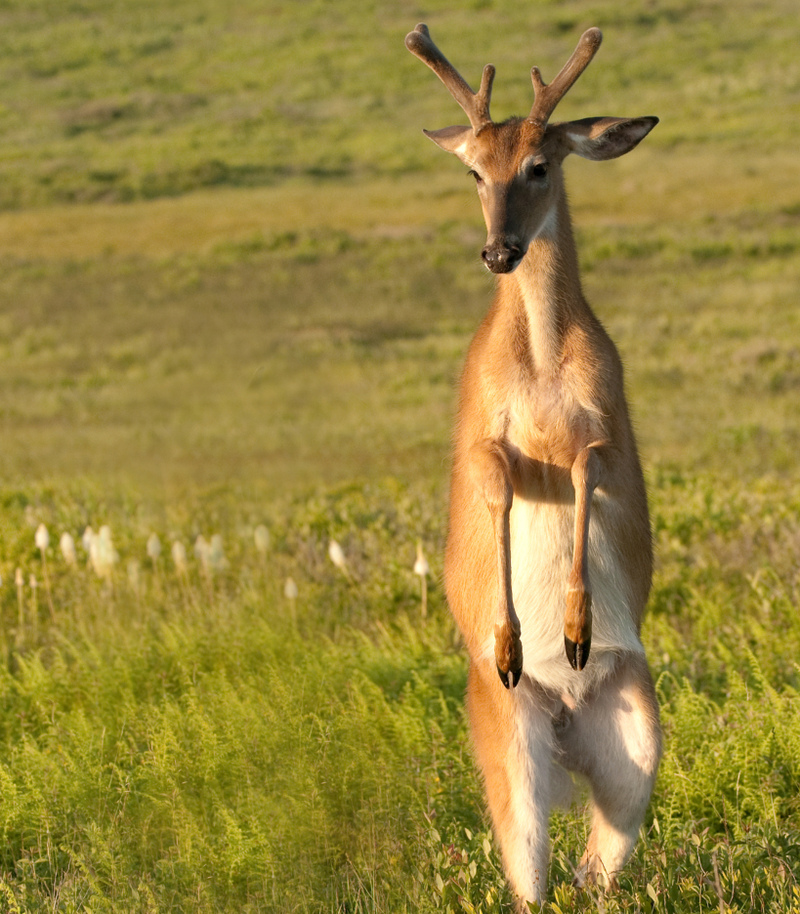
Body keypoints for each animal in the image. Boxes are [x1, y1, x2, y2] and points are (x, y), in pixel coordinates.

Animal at [406, 25, 664, 908]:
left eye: (539, 164)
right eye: (474, 170)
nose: (498, 250)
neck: (546, 368)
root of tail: (566, 725)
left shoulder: (606, 425)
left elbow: (586, 476)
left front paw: (579, 626)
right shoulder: (486, 433)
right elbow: (494, 489)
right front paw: (515, 637)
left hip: (637, 748)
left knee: (594, 867)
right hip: (510, 758)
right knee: (532, 876)